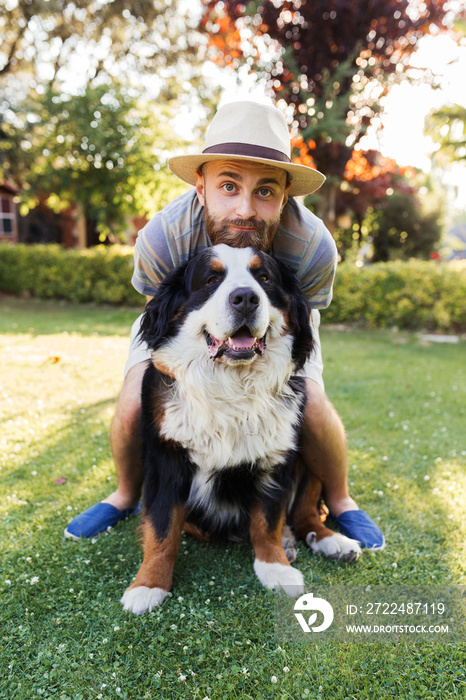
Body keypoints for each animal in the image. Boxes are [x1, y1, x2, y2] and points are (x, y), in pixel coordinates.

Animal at [121, 245, 360, 612]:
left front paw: (276, 566)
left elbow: (267, 520)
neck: (231, 385)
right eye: (211, 279)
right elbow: (162, 528)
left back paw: (331, 541)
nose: (246, 297)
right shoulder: (166, 460)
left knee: (305, 513)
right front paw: (148, 584)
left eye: (264, 278)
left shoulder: (276, 457)